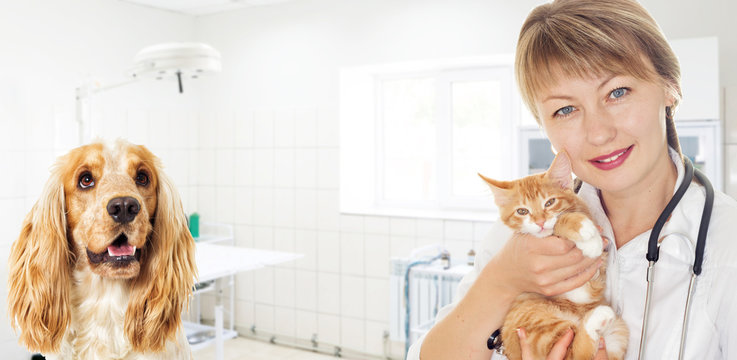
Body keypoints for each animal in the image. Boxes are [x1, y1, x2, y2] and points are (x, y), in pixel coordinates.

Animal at [480, 152, 628, 360]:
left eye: (550, 202)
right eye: (522, 211)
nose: (540, 222)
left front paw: (588, 236)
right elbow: (559, 224)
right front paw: (584, 231)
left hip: (618, 333)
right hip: (533, 320)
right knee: (574, 353)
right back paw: (597, 318)